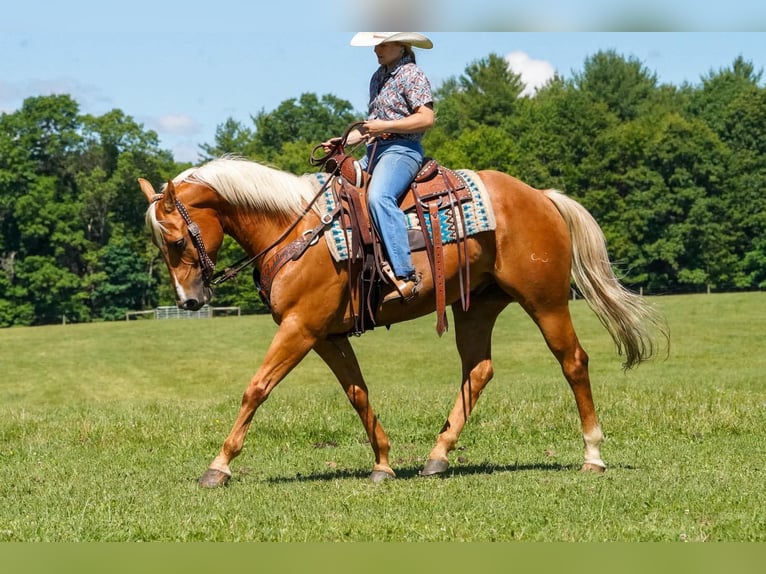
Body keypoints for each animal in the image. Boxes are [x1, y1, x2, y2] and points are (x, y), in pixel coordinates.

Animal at [139, 155, 667, 488]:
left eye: (176, 239)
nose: (189, 301)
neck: (296, 229)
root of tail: (540, 196)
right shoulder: (326, 335)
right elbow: (357, 393)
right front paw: (383, 463)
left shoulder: (300, 328)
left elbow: (256, 388)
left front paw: (219, 466)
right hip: (476, 306)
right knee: (478, 370)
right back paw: (437, 456)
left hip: (545, 300)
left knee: (572, 360)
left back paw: (592, 455)